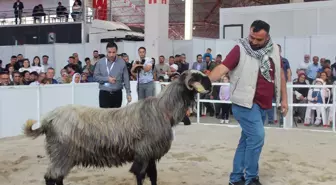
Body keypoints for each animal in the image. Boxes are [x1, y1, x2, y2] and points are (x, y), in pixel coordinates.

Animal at [23, 69, 211, 185]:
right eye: (198, 77)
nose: (210, 85)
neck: (163, 109)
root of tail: (48, 119)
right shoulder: (143, 153)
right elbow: (140, 176)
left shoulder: (150, 153)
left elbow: (153, 176)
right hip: (61, 152)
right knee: (51, 177)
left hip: (62, 155)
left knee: (57, 177)